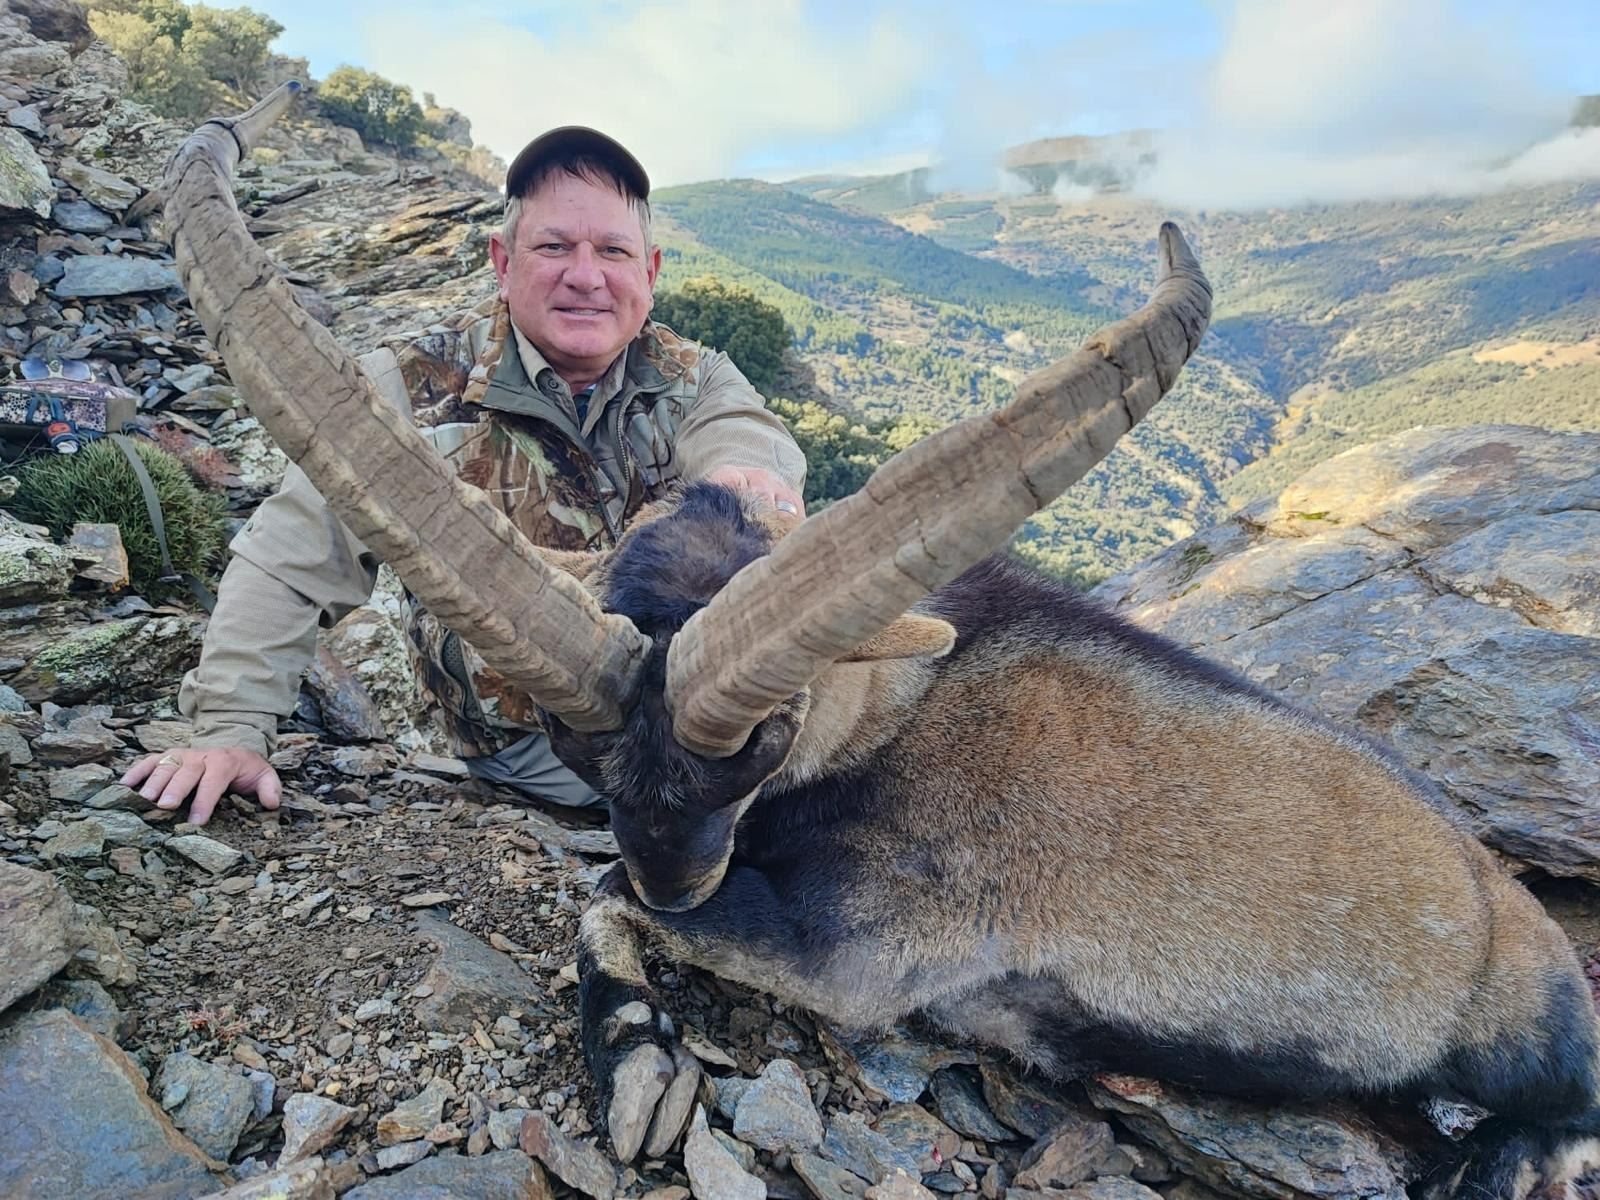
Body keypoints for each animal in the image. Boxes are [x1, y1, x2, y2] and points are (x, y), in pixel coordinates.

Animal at [166, 85, 1600, 1199]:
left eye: (767, 739)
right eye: (575, 745)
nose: (684, 873)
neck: (902, 712)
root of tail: (1510, 911)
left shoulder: (866, 950)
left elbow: (605, 898)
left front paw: (636, 1076)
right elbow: (601, 891)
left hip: (1522, 1029)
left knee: (1563, 1104)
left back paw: (1492, 1161)